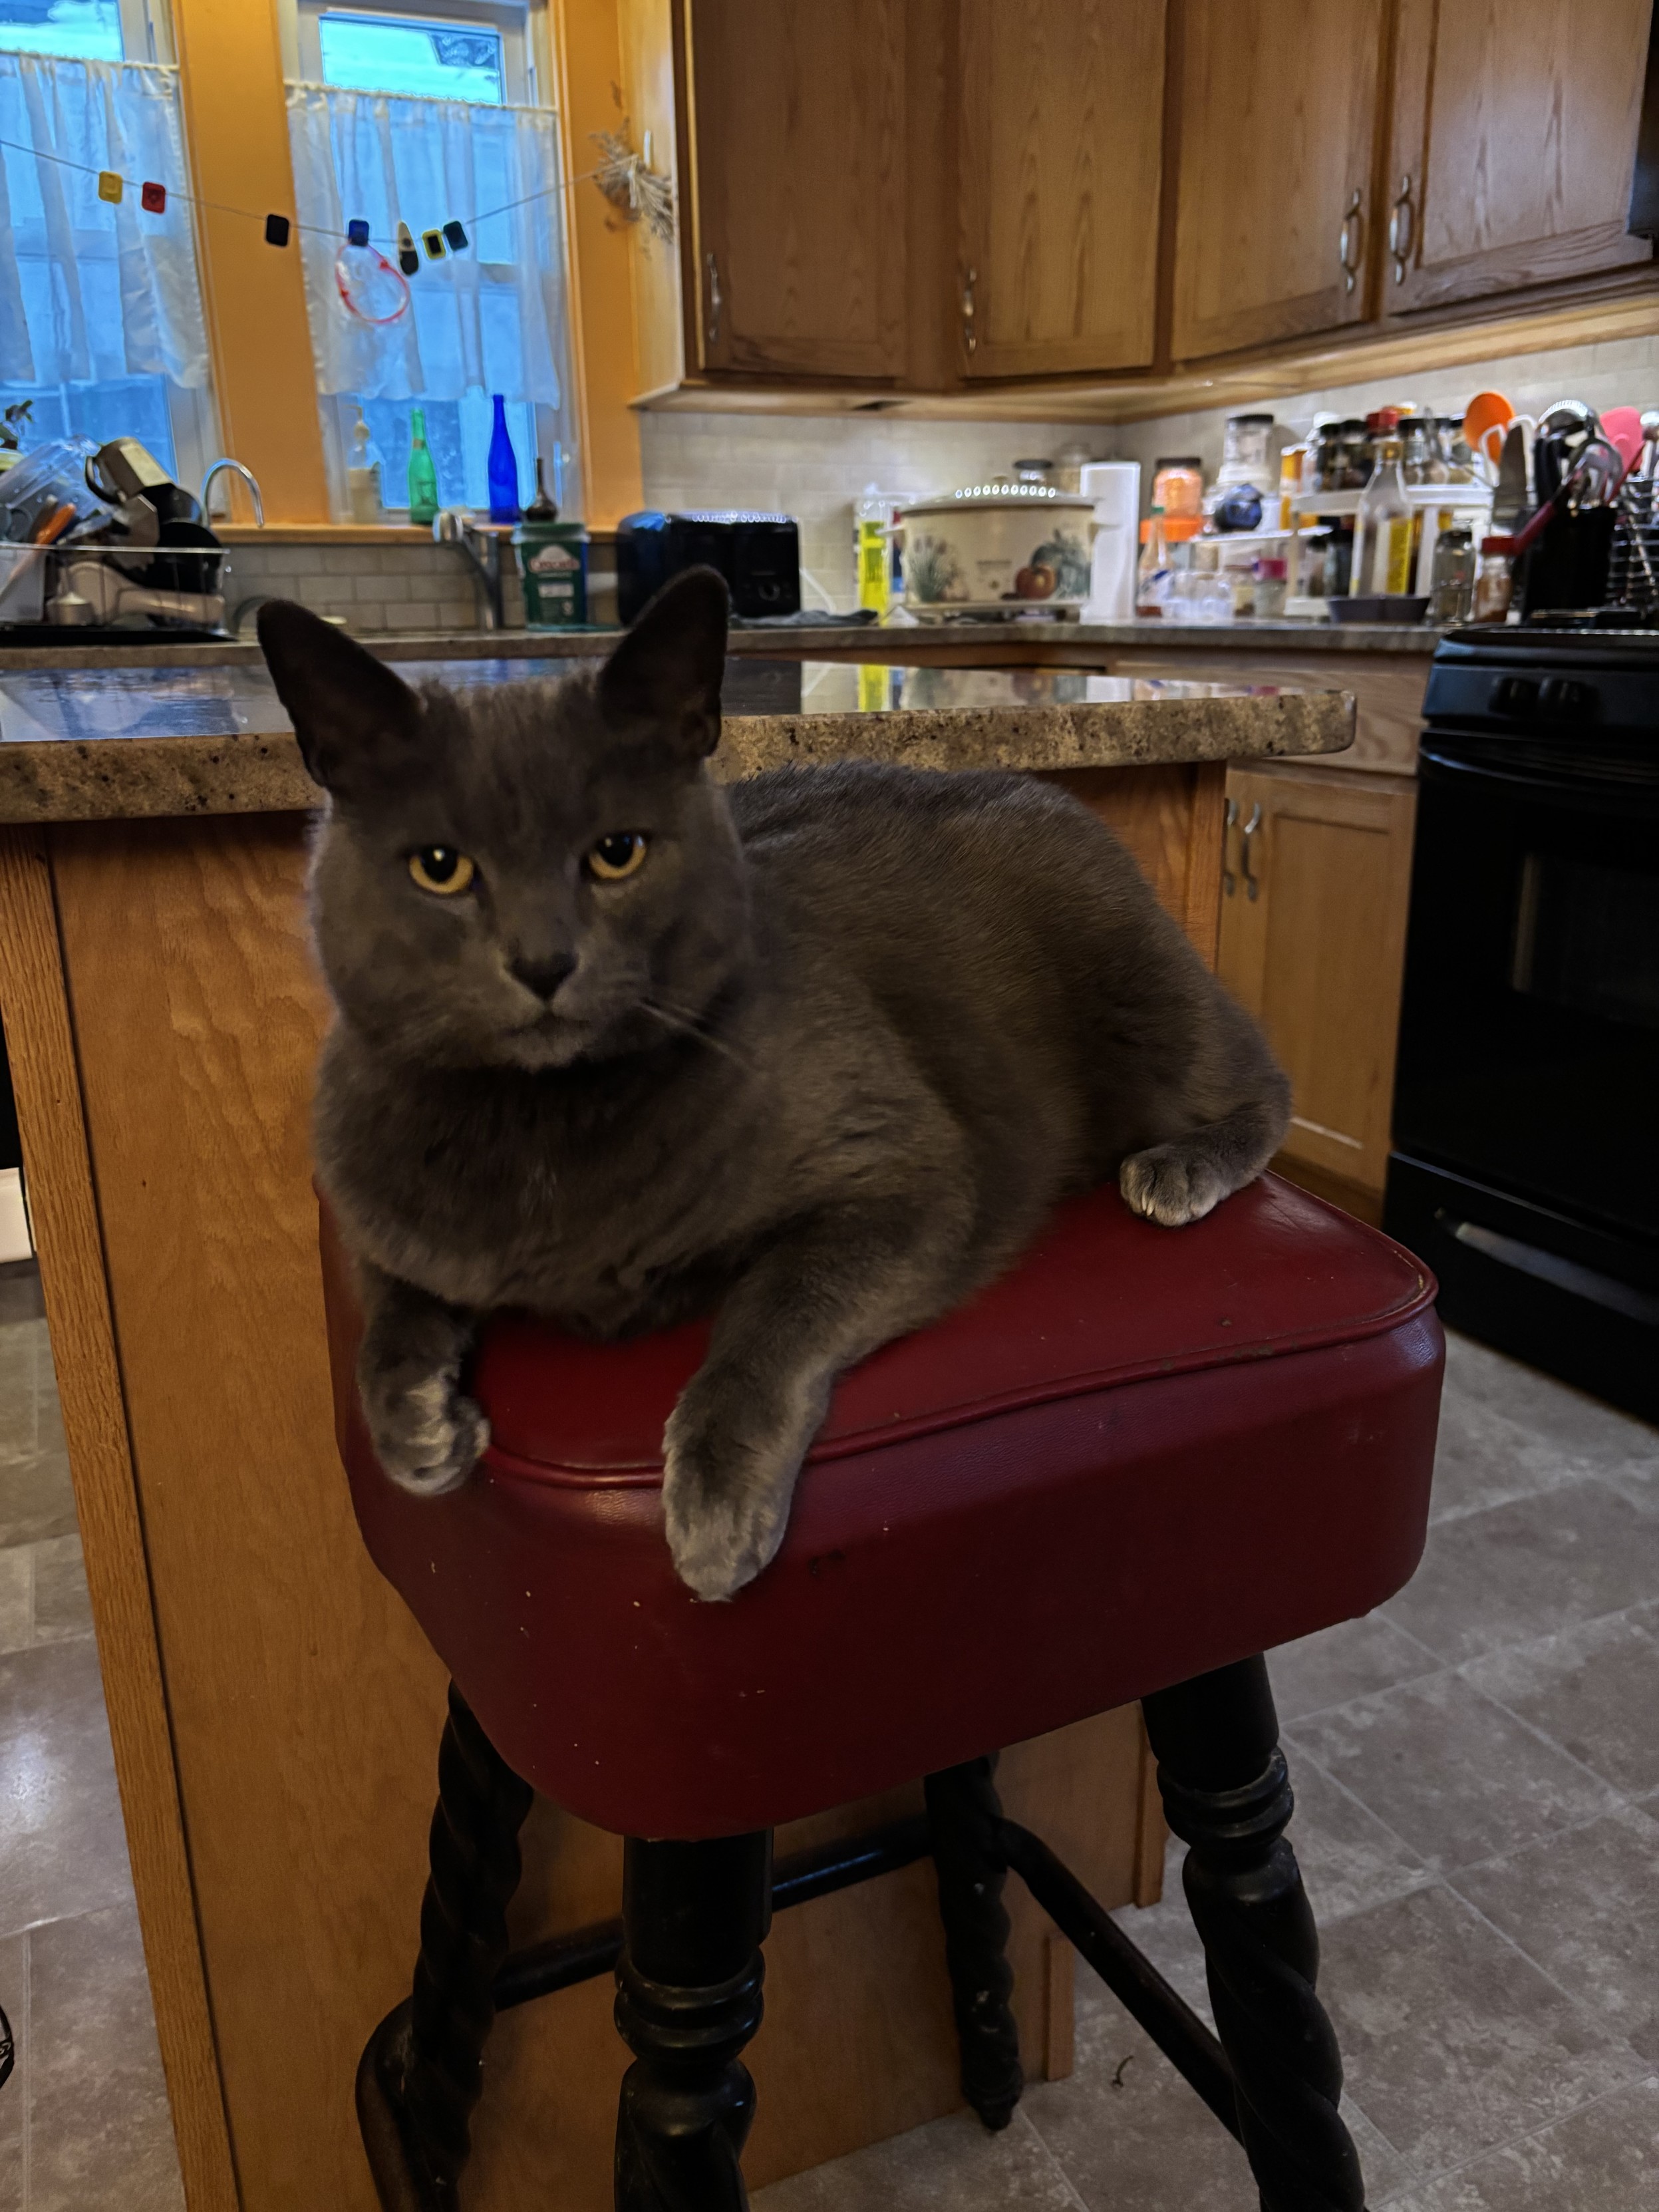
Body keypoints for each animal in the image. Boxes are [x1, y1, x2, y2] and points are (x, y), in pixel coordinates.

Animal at [263, 570, 1300, 1601]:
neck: (543, 1125)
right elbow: (386, 1313)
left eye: (617, 852)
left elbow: (769, 1320)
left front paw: (716, 1514)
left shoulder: (903, 1174)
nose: (543, 960)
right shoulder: (375, 1203)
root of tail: (1039, 787)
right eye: (439, 868)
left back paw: (1179, 1168)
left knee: (1264, 1082)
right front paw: (414, 1429)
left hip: (1141, 999)